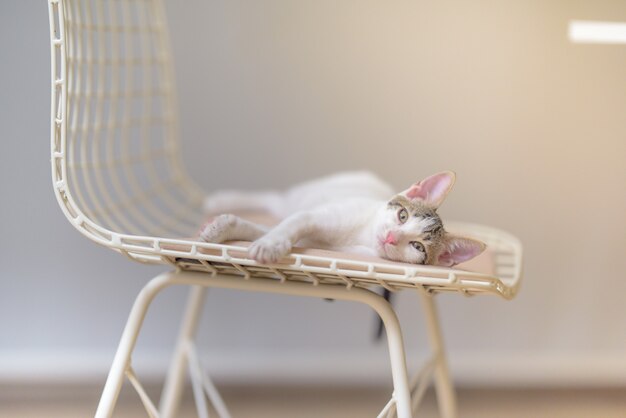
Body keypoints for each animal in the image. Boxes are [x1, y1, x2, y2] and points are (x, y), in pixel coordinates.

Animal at [200, 171, 482, 266]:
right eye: (402, 216)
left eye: (418, 246)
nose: (392, 237)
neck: (362, 236)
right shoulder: (314, 216)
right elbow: (292, 223)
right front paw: (270, 244)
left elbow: (263, 229)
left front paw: (225, 229)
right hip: (300, 196)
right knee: (273, 198)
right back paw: (222, 200)